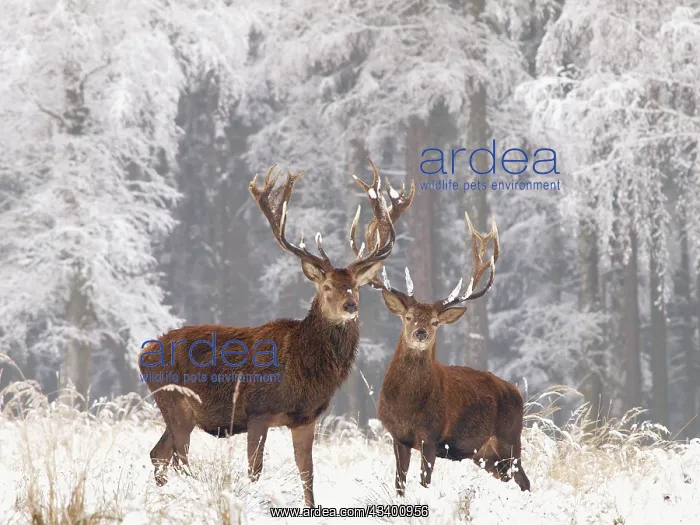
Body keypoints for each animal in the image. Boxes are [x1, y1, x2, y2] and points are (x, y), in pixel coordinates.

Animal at [138, 160, 415, 507]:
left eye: (355, 286)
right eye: (326, 286)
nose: (350, 305)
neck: (302, 371)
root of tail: (142, 354)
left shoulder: (306, 419)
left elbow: (308, 474)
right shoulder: (257, 411)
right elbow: (255, 470)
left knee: (158, 453)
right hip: (175, 401)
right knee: (177, 457)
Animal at [363, 212, 531, 496]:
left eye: (434, 322)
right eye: (408, 317)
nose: (420, 333)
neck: (407, 406)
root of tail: (517, 391)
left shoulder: (431, 436)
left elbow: (424, 482)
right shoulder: (398, 436)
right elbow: (400, 484)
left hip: (510, 438)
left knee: (524, 480)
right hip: (484, 455)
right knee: (513, 478)